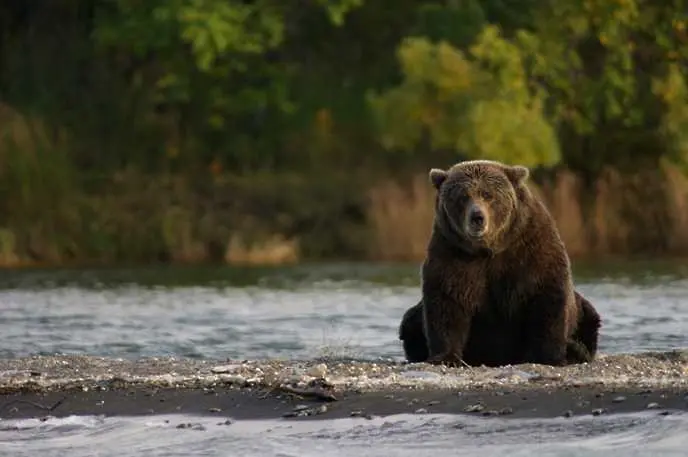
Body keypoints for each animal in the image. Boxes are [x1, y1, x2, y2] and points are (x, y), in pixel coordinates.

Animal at [408, 160, 600, 366]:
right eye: (462, 197)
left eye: (488, 194)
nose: (477, 217)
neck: (489, 249)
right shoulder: (452, 253)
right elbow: (447, 301)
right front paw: (446, 357)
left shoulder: (530, 248)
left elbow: (546, 298)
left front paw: (551, 356)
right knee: (410, 321)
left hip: (583, 312)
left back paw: (575, 350)